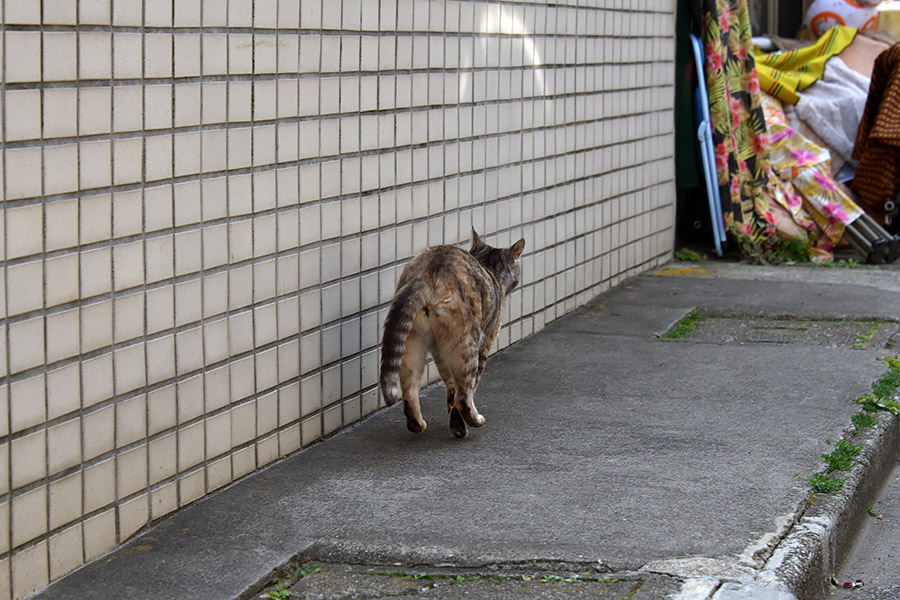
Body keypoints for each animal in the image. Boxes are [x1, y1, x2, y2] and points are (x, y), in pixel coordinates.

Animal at [376, 229, 524, 436]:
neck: (489, 269)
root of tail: (430, 272)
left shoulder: (441, 352)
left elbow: (450, 388)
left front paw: (456, 425)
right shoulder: (485, 343)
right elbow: (466, 388)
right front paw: (459, 424)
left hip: (412, 341)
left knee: (410, 389)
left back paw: (417, 424)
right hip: (467, 342)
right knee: (463, 397)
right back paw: (475, 420)